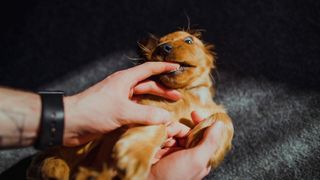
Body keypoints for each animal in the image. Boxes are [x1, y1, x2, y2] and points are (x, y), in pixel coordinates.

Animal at [27, 31, 234, 180]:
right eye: (159, 44)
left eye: (189, 40)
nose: (164, 48)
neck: (189, 96)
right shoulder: (147, 108)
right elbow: (158, 125)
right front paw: (134, 155)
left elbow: (225, 119)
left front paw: (209, 144)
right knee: (52, 155)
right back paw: (54, 169)